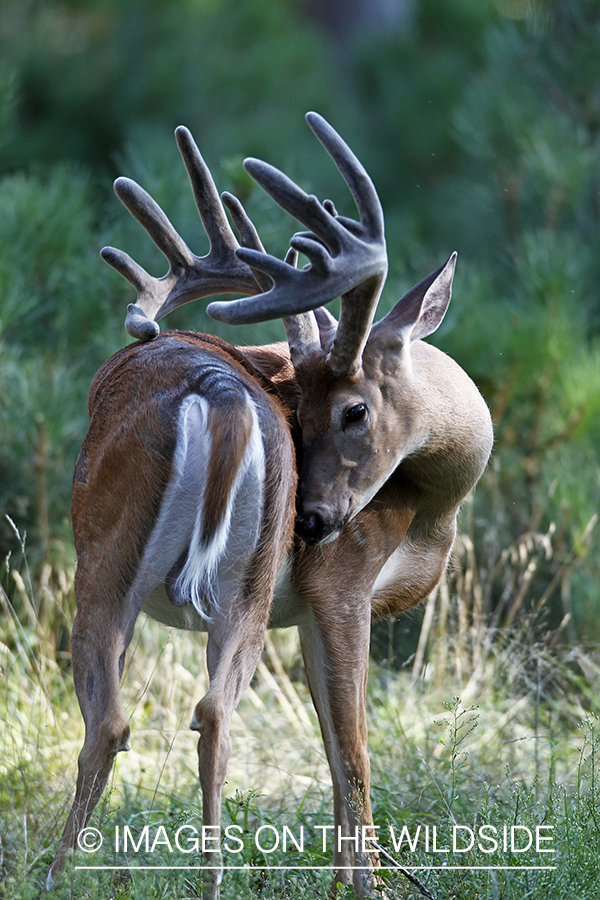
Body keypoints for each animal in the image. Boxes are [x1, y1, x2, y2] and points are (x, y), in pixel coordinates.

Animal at [47, 116, 494, 896]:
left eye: (351, 410)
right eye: (304, 413)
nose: (312, 522)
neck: (435, 505)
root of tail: (216, 387)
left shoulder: (315, 602)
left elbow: (338, 751)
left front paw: (348, 882)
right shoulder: (340, 584)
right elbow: (353, 752)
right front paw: (364, 885)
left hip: (168, 567)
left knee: (151, 718)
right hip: (159, 566)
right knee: (165, 717)